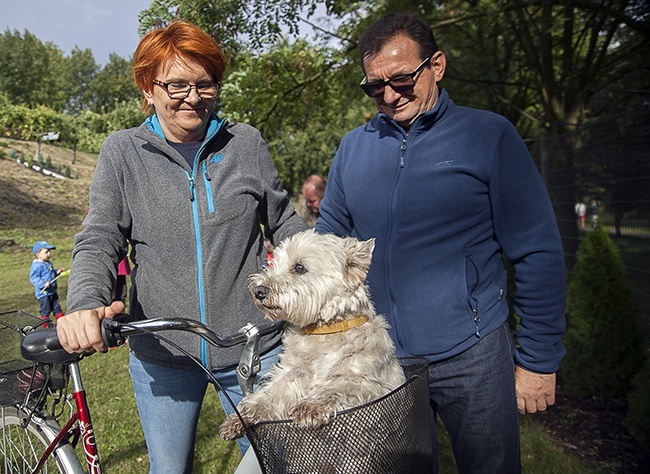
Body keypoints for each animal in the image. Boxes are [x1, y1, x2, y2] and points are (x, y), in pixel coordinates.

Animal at [220, 230, 408, 440]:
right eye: (273, 263)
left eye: (299, 267)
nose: (258, 290)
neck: (322, 332)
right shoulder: (291, 373)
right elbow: (270, 394)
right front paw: (240, 417)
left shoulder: (370, 383)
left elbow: (341, 385)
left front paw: (310, 406)